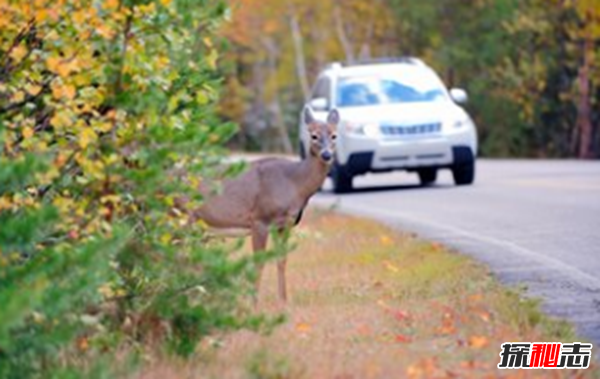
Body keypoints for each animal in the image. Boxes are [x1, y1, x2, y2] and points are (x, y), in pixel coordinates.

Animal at [195, 108, 340, 304]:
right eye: (314, 135)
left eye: (334, 135)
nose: (327, 155)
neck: (294, 183)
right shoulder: (260, 219)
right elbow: (259, 262)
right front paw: (254, 302)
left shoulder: (285, 223)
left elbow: (282, 259)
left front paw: (284, 301)